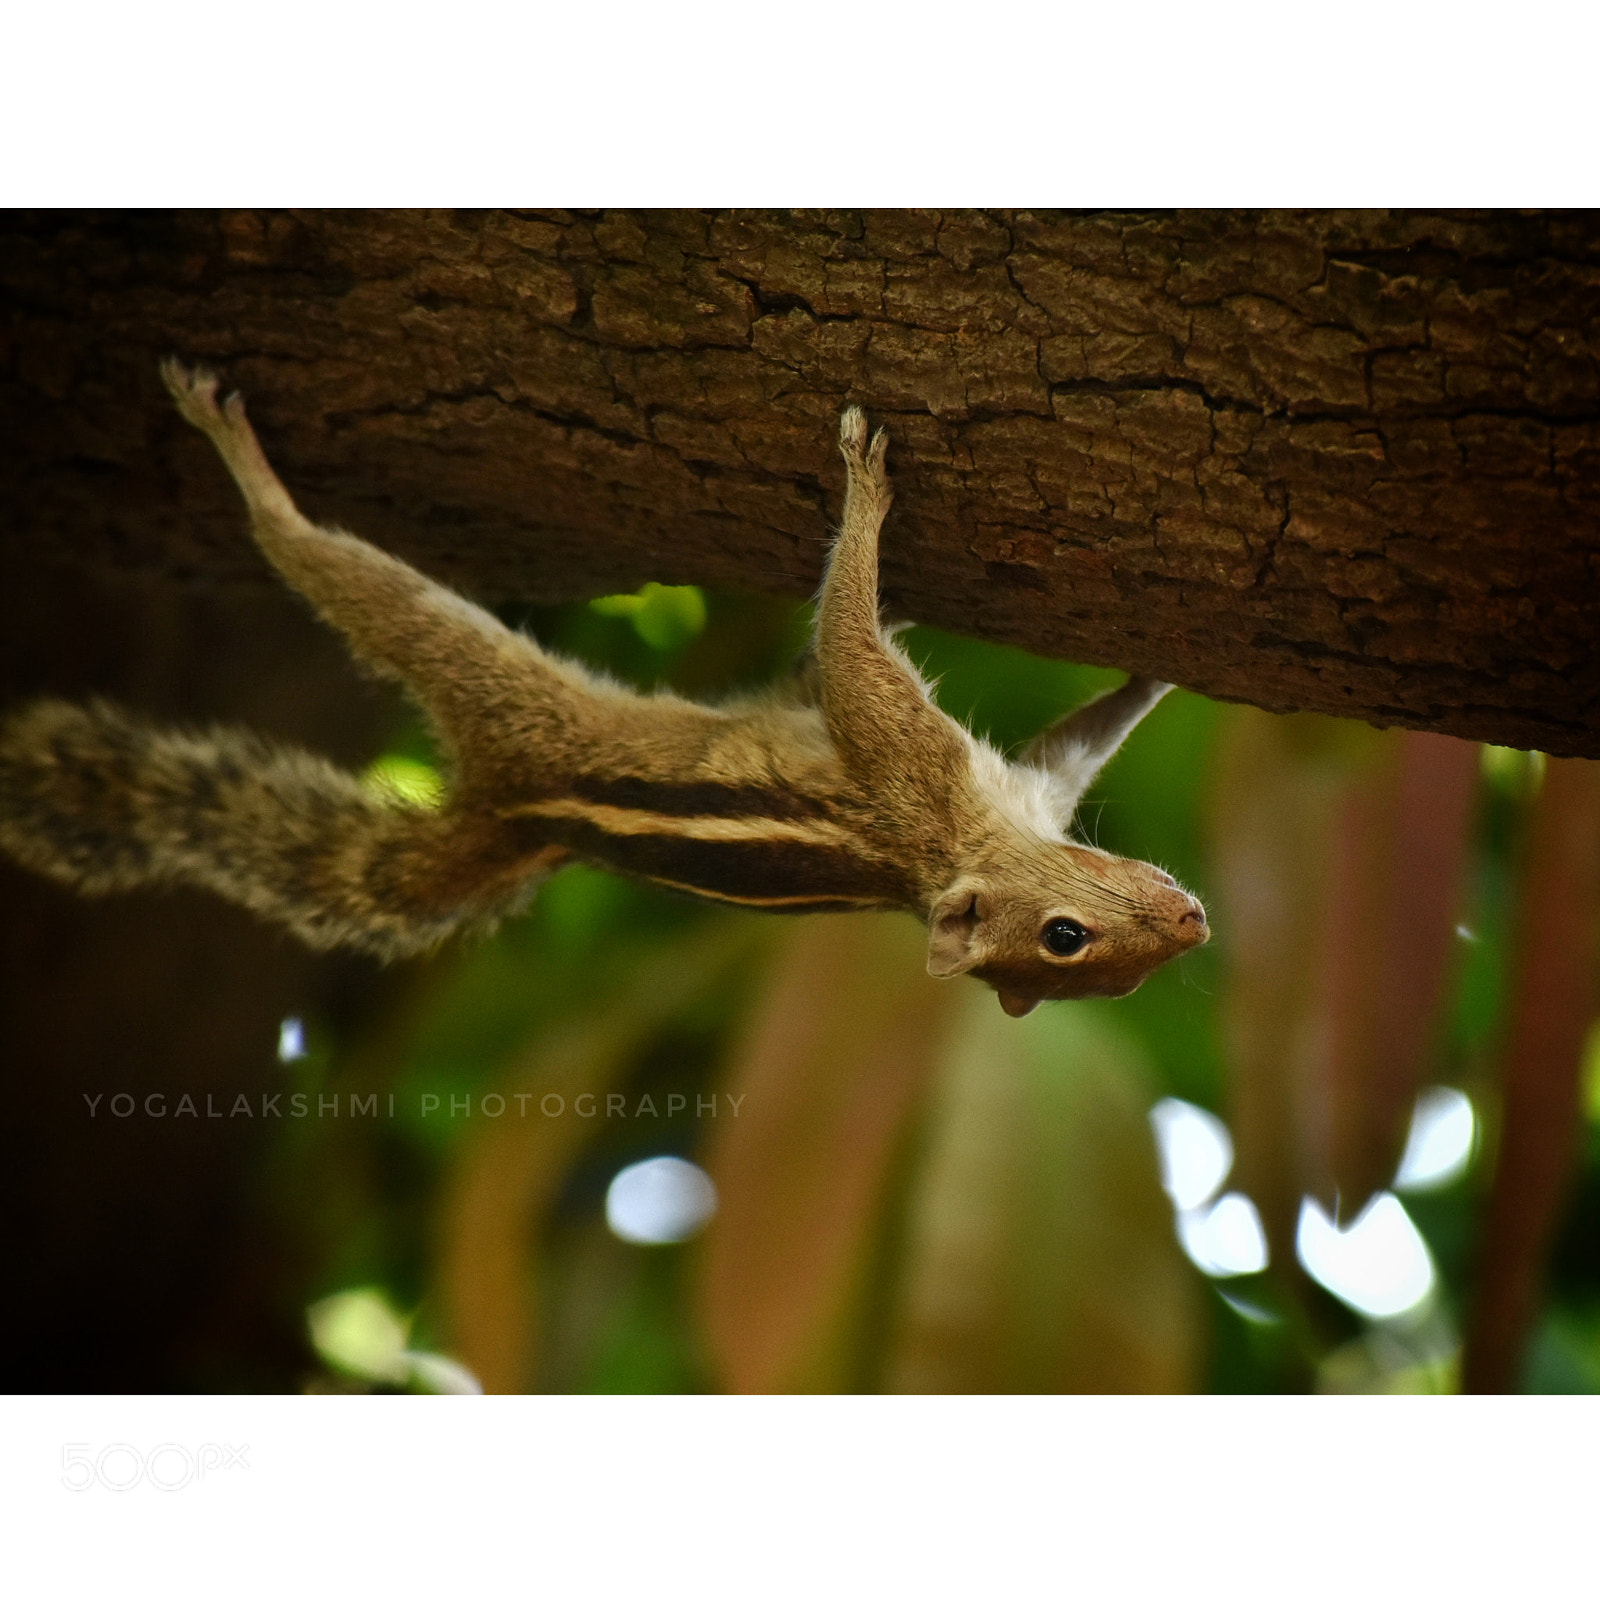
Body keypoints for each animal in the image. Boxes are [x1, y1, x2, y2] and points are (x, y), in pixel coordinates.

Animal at [0, 361, 1208, 1016]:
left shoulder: (988, 783)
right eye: (1067, 940)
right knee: (316, 561)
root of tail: (509, 809)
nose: (1195, 922)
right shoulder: (928, 769)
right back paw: (244, 462)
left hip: (494, 685)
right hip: (494, 681)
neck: (965, 844)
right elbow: (857, 654)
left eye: (1121, 982)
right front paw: (865, 496)